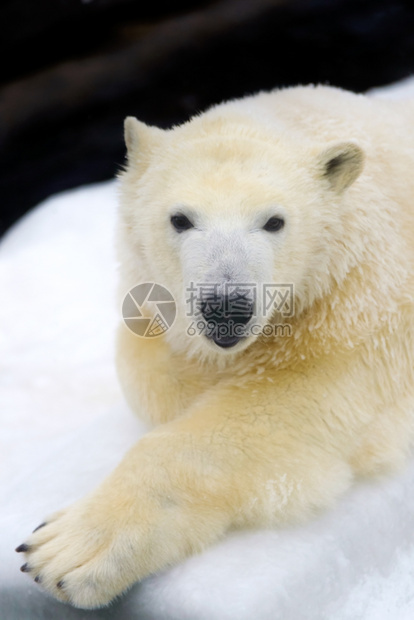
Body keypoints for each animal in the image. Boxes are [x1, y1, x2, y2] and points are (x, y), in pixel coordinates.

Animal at [17, 85, 414, 608]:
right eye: (180, 219)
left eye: (274, 221)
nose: (227, 306)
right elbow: (149, 364)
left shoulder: (361, 313)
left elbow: (284, 411)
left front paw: (64, 549)